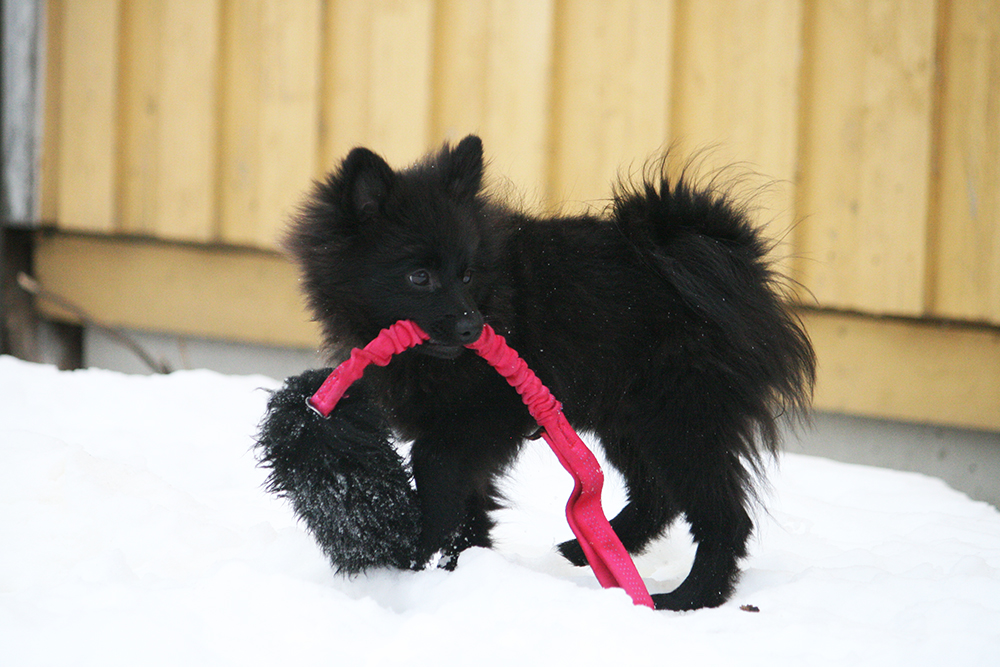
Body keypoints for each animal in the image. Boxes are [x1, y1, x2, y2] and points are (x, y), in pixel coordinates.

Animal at [263, 135, 814, 610]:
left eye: (466, 274)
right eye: (419, 277)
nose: (472, 326)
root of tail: (732, 265)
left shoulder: (485, 416)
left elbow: (434, 466)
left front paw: (419, 556)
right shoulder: (472, 432)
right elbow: (469, 503)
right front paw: (458, 564)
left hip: (679, 419)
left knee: (723, 518)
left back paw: (687, 598)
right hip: (629, 419)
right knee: (656, 495)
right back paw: (594, 550)